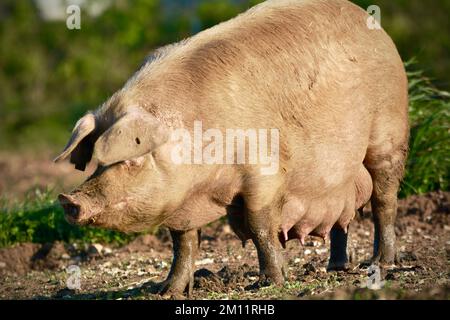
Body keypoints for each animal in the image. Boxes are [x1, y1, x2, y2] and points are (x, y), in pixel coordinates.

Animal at [55, 0, 408, 298]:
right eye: (96, 164)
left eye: (132, 161)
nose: (69, 200)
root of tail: (379, 31)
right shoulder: (182, 202)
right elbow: (183, 243)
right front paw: (167, 291)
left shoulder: (264, 172)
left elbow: (260, 225)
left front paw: (269, 282)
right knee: (341, 217)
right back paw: (336, 266)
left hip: (389, 133)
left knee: (384, 200)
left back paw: (380, 263)